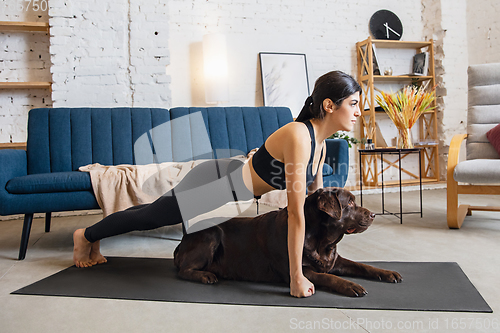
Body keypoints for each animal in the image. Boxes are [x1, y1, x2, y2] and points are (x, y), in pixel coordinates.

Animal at [173, 187, 402, 296]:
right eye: (351, 203)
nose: (373, 214)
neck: (321, 241)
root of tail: (182, 239)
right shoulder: (299, 270)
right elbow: (328, 277)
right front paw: (350, 285)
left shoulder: (336, 261)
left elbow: (363, 266)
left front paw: (387, 273)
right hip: (211, 235)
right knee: (183, 271)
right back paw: (206, 276)